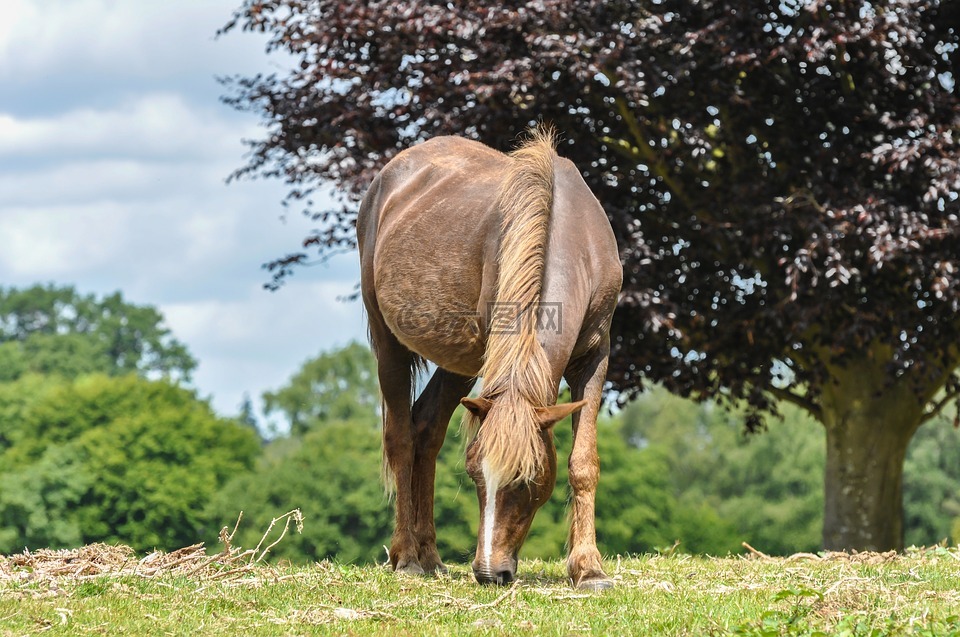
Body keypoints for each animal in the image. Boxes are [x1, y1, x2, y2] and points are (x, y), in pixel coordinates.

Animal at [356, 126, 620, 588]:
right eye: (475, 475)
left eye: (528, 479)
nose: (488, 572)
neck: (571, 235)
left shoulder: (595, 357)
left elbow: (583, 461)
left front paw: (588, 568)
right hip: (389, 343)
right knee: (402, 437)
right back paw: (407, 557)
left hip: (458, 363)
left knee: (426, 430)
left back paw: (430, 555)